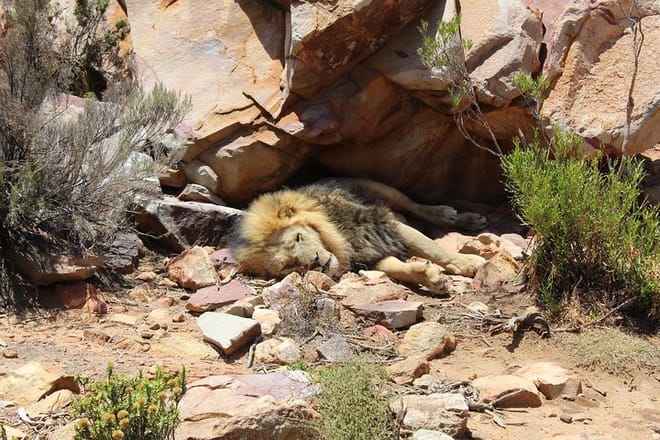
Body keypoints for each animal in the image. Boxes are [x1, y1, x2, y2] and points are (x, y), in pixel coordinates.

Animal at [231, 178, 487, 294]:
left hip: (382, 189)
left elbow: (432, 248)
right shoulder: (370, 256)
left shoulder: (384, 224)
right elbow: (397, 268)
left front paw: (467, 263)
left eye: (298, 238)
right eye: (287, 266)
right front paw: (429, 277)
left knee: (416, 206)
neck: (341, 241)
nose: (316, 262)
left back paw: (458, 216)